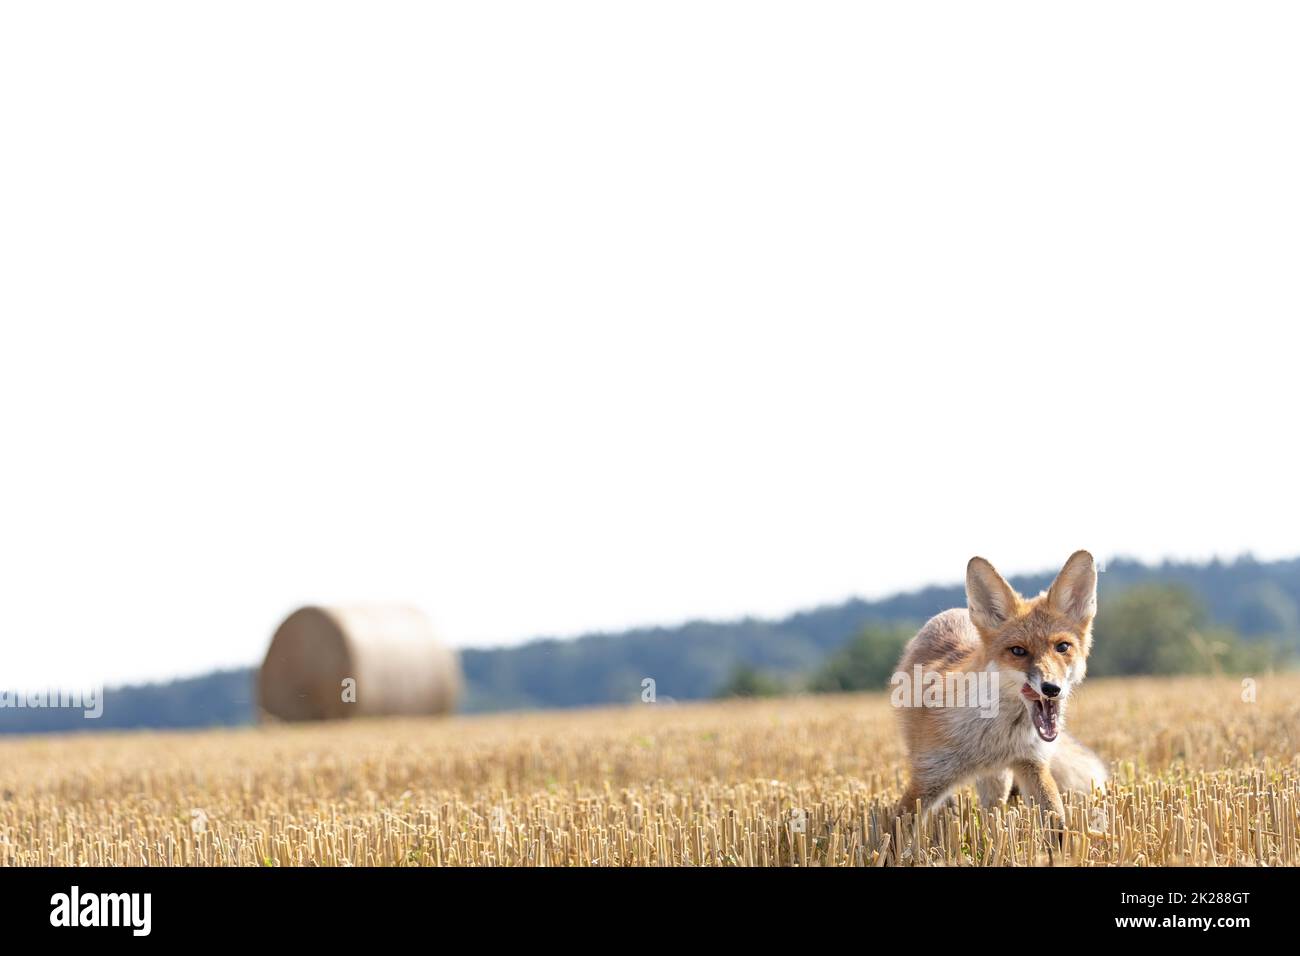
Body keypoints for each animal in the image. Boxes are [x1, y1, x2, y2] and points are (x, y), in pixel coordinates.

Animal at [892, 550, 1108, 830]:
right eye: (1018, 651)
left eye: (1062, 647)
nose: (1051, 688)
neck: (995, 742)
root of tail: (954, 611)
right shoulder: (928, 777)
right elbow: (897, 832)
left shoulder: (1032, 764)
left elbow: (1057, 823)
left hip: (998, 781)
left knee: (992, 811)